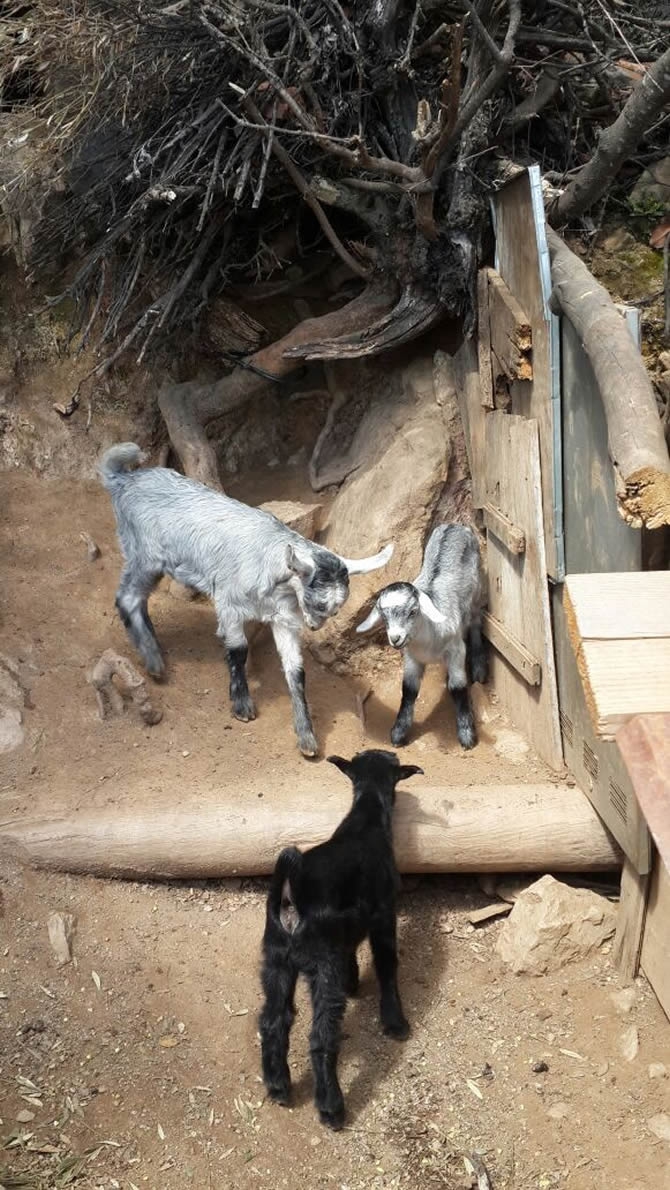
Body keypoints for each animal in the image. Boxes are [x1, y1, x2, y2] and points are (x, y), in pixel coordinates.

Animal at [99, 447, 392, 752]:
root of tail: (123, 479)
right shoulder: (228, 602)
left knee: (138, 599)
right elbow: (238, 649)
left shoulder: (283, 618)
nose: (314, 627)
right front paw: (242, 706)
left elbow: (295, 669)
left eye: (335, 611)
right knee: (127, 597)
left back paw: (153, 648)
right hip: (145, 554)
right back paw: (154, 662)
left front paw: (307, 737)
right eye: (318, 604)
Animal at [357, 525, 487, 747]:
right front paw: (398, 732)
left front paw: (467, 734)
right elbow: (409, 690)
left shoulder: (456, 650)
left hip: (476, 590)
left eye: (412, 611)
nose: (395, 638)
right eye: (383, 615)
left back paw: (479, 667)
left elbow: (458, 686)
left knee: (476, 622)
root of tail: (455, 526)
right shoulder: (412, 657)